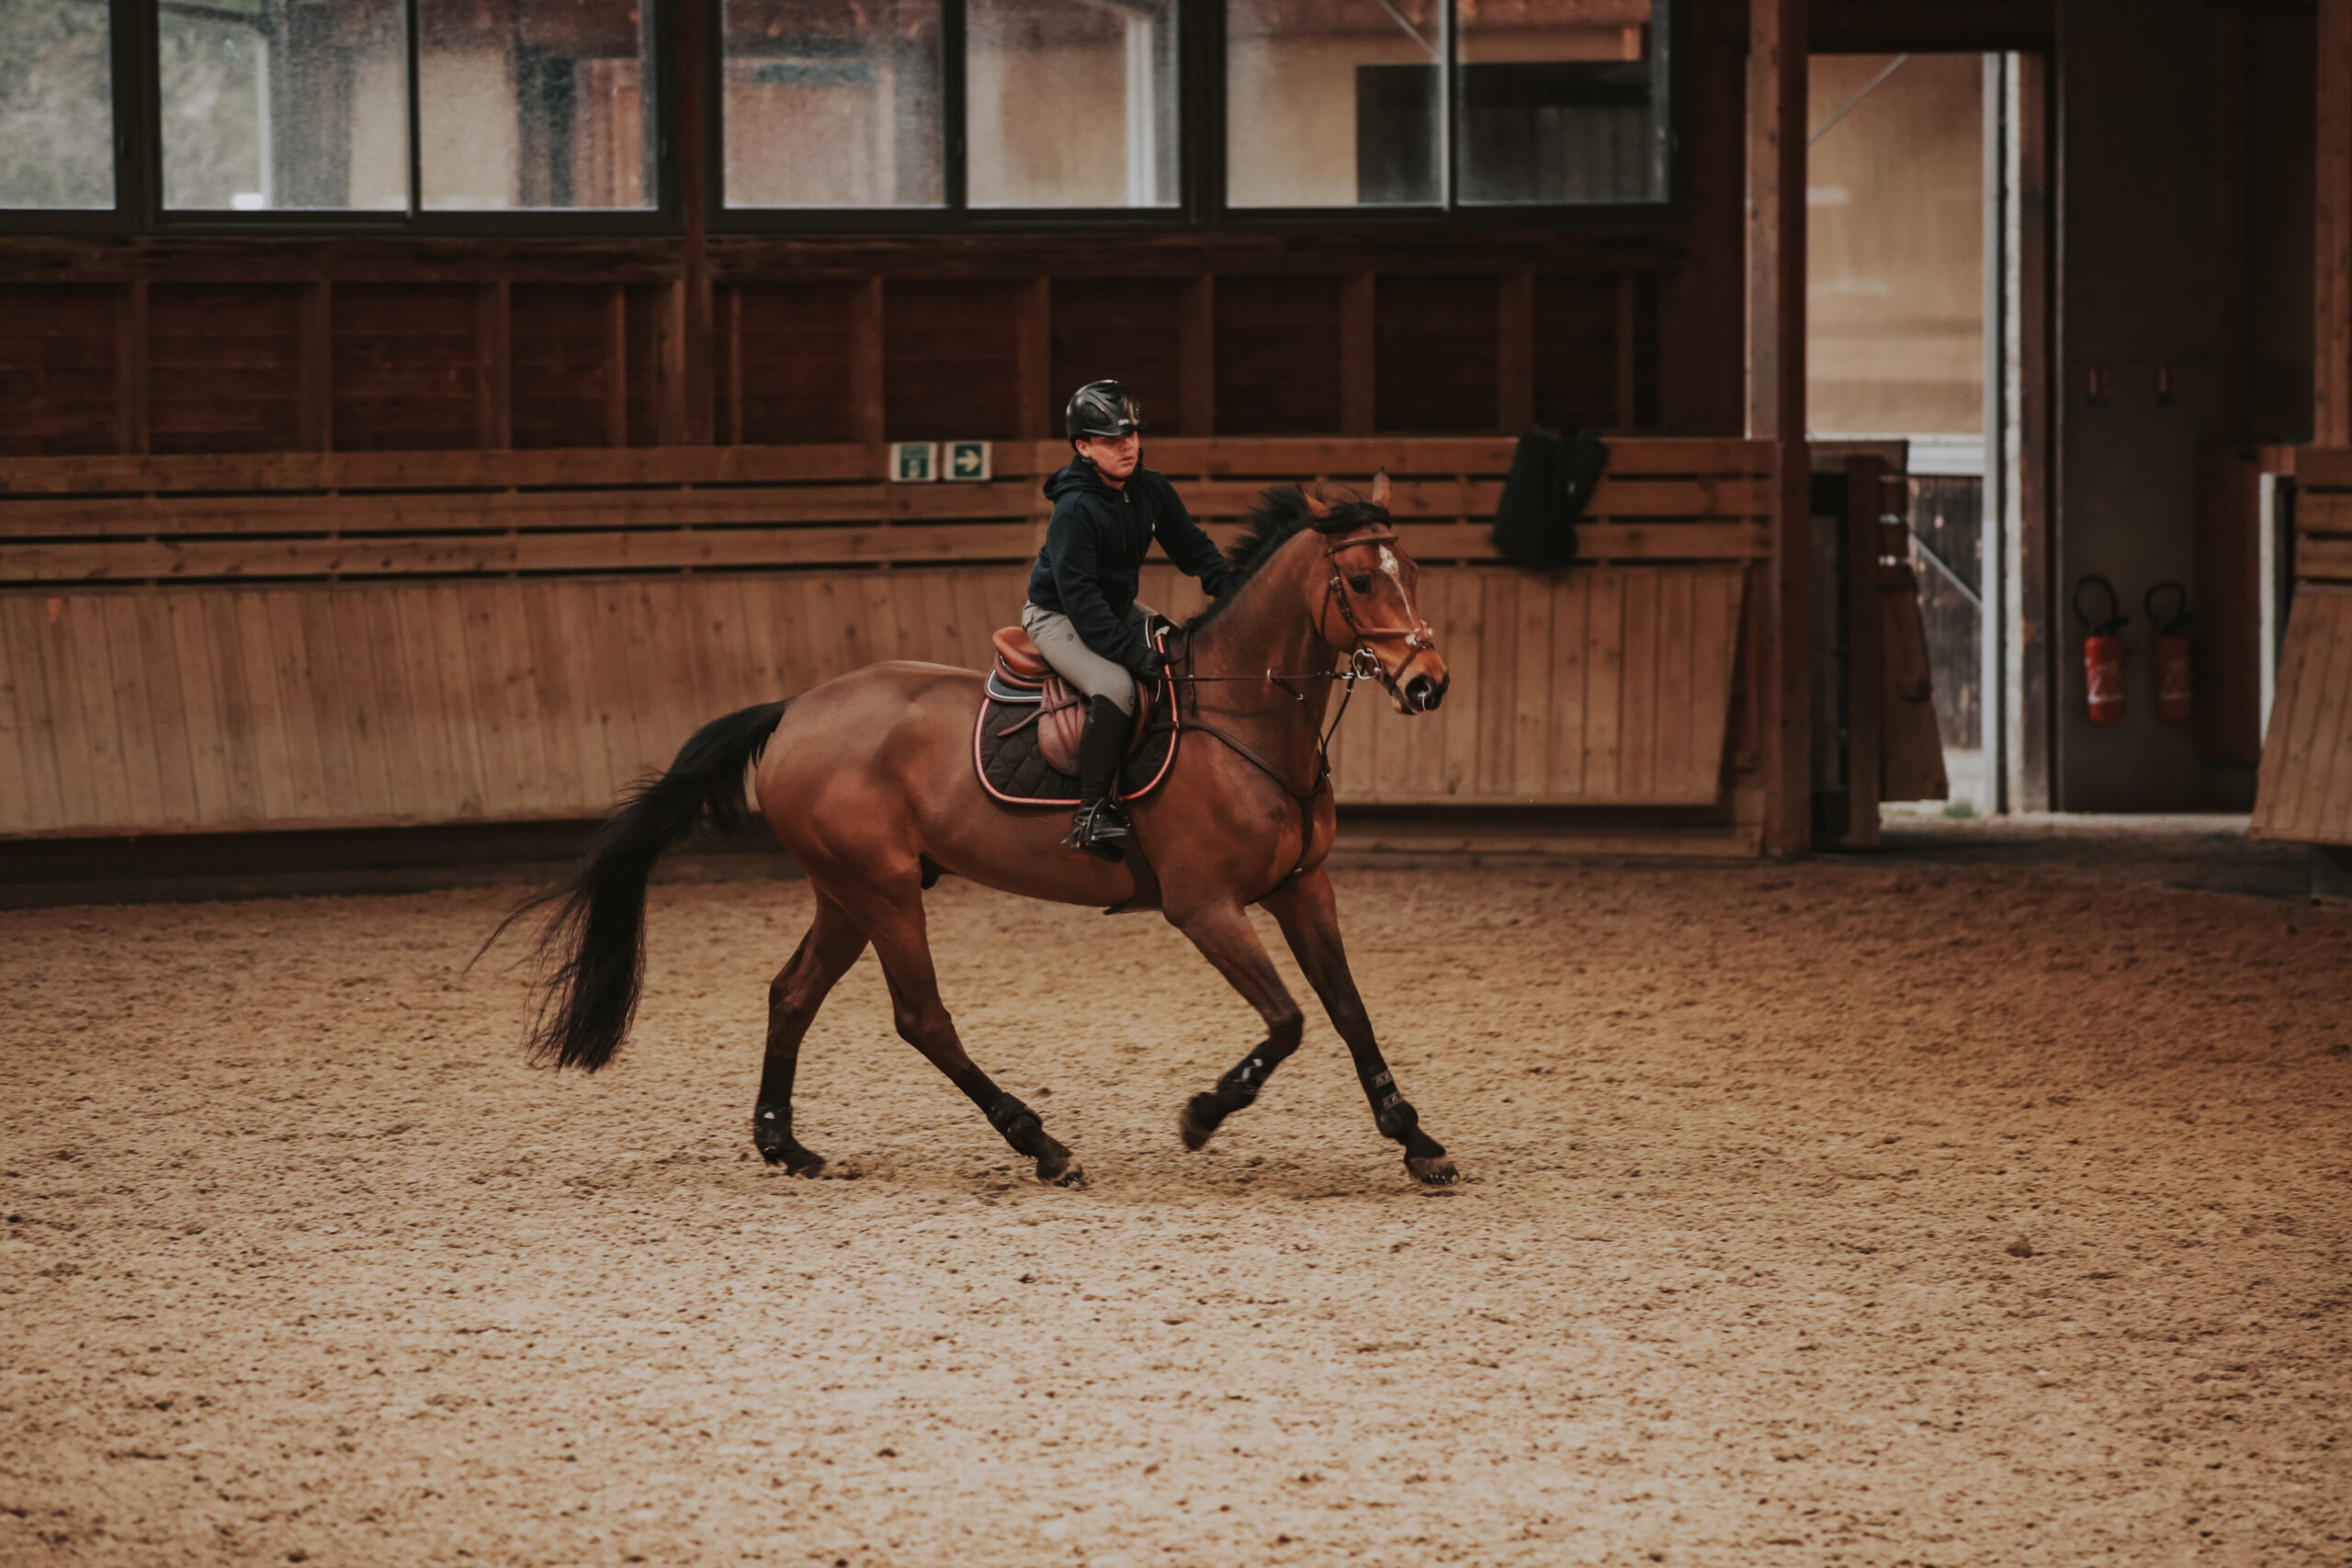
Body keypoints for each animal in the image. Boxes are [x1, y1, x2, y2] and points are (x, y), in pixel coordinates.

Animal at [501, 471, 1458, 1189]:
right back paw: (1042, 1145)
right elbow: (1288, 1019)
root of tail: (796, 708)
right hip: (883, 890)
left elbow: (1347, 1009)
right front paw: (1202, 1115)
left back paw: (784, 1143)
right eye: (1361, 581)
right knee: (922, 1017)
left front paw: (1416, 1139)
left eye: (1411, 567)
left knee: (792, 994)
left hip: (848, 893)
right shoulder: (1205, 905)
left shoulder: (1303, 887)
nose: (1429, 684)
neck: (1245, 719)